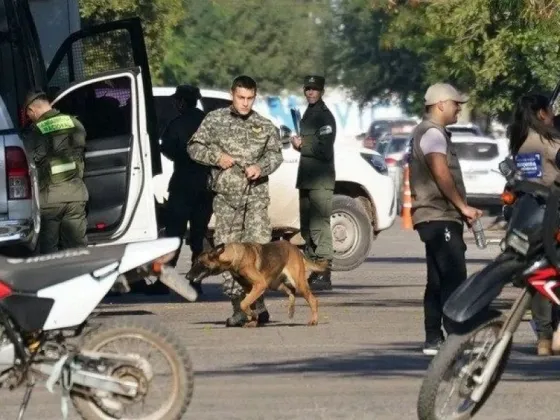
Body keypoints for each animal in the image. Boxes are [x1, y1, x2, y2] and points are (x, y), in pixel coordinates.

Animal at [186, 241, 328, 326]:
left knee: (313, 300)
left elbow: (244, 304)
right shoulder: (250, 289)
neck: (234, 256)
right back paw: (291, 311)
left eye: (199, 262)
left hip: (298, 283)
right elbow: (249, 303)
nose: (187, 276)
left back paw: (313, 320)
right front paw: (253, 321)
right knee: (291, 292)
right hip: (275, 284)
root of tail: (296, 249)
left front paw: (253, 316)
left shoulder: (259, 285)